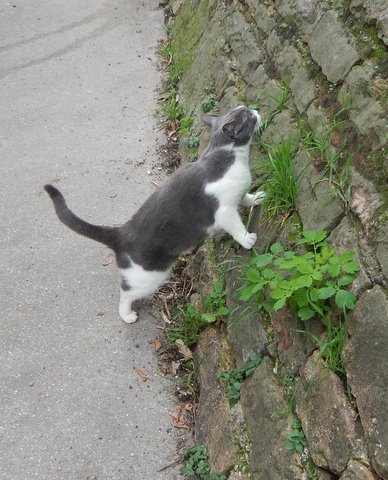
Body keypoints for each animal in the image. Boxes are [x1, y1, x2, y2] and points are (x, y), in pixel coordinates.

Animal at [44, 105, 264, 322]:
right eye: (248, 115)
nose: (256, 110)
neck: (228, 156)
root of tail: (121, 233)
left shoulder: (237, 194)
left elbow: (244, 196)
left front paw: (256, 198)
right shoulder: (224, 210)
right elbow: (236, 226)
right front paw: (247, 239)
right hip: (150, 276)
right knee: (126, 292)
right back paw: (127, 314)